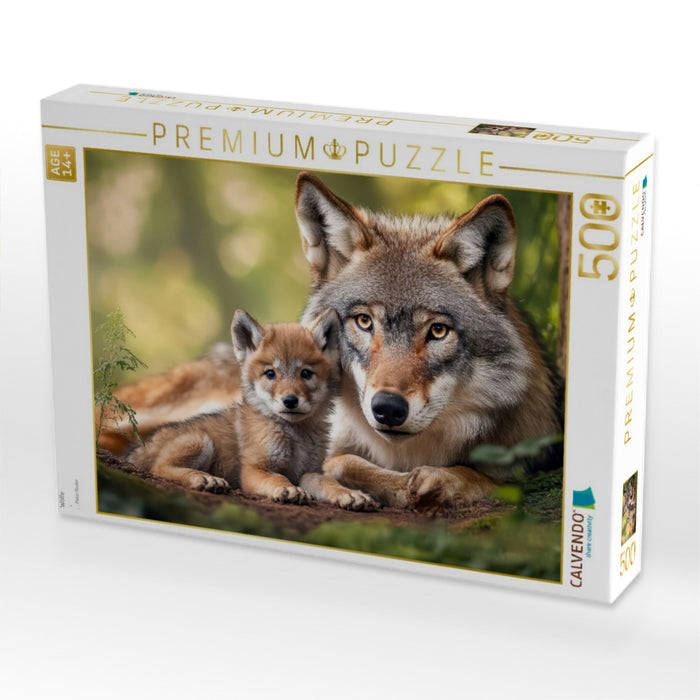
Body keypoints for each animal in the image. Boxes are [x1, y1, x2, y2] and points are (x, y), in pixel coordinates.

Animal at [126, 309, 377, 509]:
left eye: (306, 373)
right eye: (270, 374)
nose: (290, 401)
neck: (295, 436)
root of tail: (145, 445)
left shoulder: (310, 471)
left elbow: (328, 482)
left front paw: (349, 494)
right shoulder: (255, 469)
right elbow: (278, 479)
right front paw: (288, 491)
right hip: (201, 440)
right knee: (159, 468)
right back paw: (205, 479)